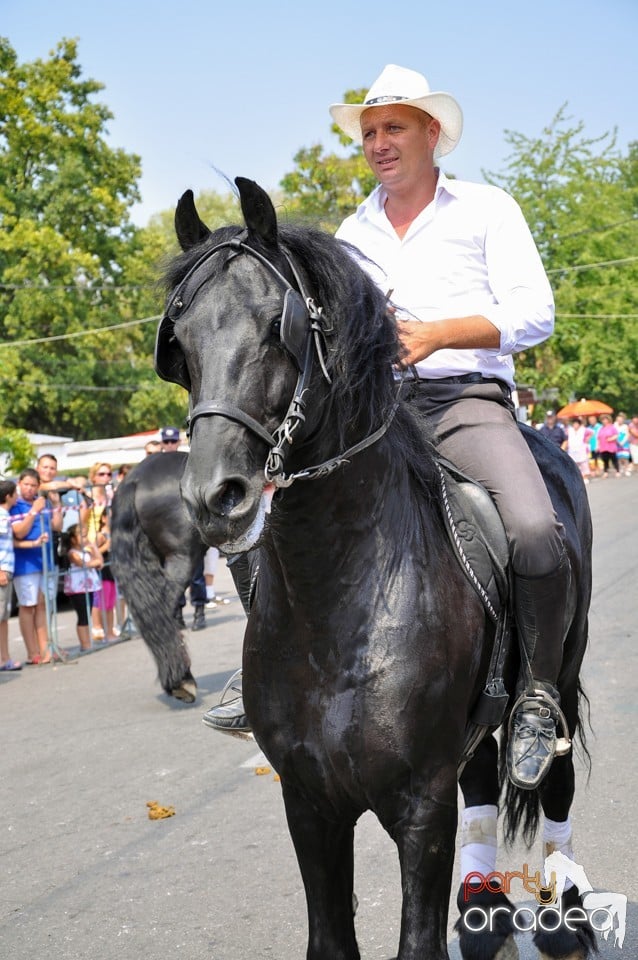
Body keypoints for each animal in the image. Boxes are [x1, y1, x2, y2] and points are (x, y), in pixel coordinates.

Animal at [150, 180, 596, 960]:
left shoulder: (420, 807)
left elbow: (415, 941)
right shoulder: (310, 803)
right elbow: (331, 939)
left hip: (561, 681)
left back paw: (563, 915)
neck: (339, 606)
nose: (214, 498)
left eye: (277, 327)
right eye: (182, 341)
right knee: (482, 776)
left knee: (555, 777)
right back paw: (484, 908)